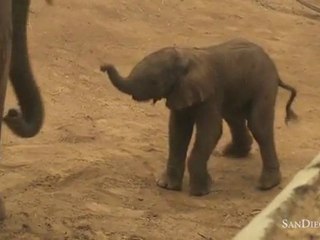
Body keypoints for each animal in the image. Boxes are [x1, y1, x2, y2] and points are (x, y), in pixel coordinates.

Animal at [100, 38, 298, 196]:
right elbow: (178, 130)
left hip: (264, 84)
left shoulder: (210, 92)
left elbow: (210, 131)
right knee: (233, 116)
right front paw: (166, 186)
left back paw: (266, 185)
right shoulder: (180, 92)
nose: (103, 66)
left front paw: (200, 192)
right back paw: (232, 153)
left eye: (154, 81)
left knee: (258, 125)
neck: (186, 57)